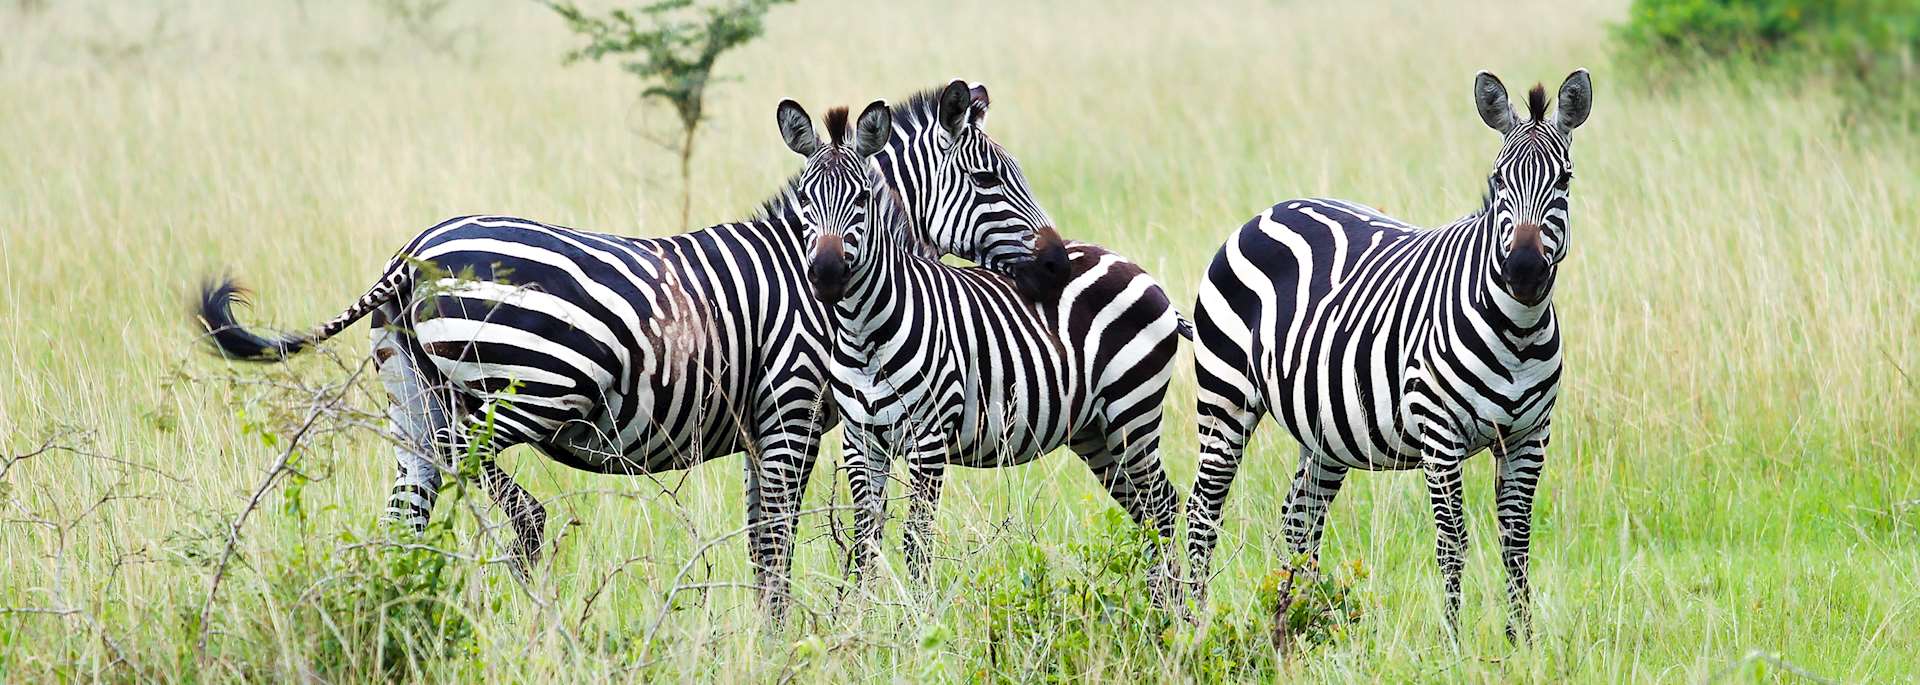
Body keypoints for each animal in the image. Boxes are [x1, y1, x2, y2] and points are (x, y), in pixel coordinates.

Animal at [191, 81, 1068, 619]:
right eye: (991, 180)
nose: (1058, 264)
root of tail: (412, 253)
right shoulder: (789, 410)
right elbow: (779, 537)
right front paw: (784, 638)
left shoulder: (761, 425)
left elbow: (762, 536)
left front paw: (768, 634)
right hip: (519, 390)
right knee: (468, 468)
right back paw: (529, 561)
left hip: (411, 388)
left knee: (410, 502)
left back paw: (399, 604)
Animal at [794, 101, 1192, 605]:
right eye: (803, 199)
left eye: (863, 199)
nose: (826, 275)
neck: (864, 331)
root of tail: (1140, 271)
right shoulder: (860, 440)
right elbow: (865, 541)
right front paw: (862, 616)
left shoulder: (928, 438)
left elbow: (917, 541)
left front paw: (918, 618)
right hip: (1096, 434)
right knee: (1148, 510)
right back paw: (1163, 607)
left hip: (1132, 416)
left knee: (1164, 507)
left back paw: (1178, 612)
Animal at [1184, 69, 1593, 641]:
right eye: (1497, 183)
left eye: (1565, 182)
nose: (1526, 271)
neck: (1517, 331)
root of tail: (1268, 211)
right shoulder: (1440, 436)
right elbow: (1452, 544)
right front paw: (1452, 642)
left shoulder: (1529, 437)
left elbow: (1517, 545)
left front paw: (1522, 644)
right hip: (1225, 397)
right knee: (1203, 511)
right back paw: (1194, 624)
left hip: (1322, 429)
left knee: (1299, 519)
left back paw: (1296, 621)